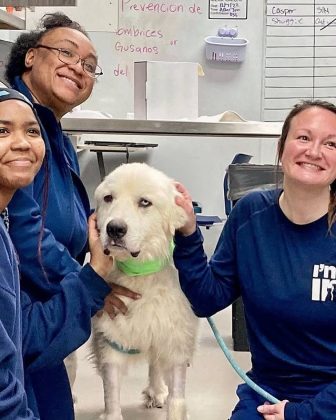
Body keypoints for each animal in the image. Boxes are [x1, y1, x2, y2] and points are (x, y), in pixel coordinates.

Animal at [92, 163, 198, 420]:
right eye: (108, 198)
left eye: (144, 202)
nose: (115, 229)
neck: (142, 274)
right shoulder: (110, 339)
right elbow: (112, 396)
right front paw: (112, 414)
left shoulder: (175, 339)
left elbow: (177, 398)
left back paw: (157, 391)